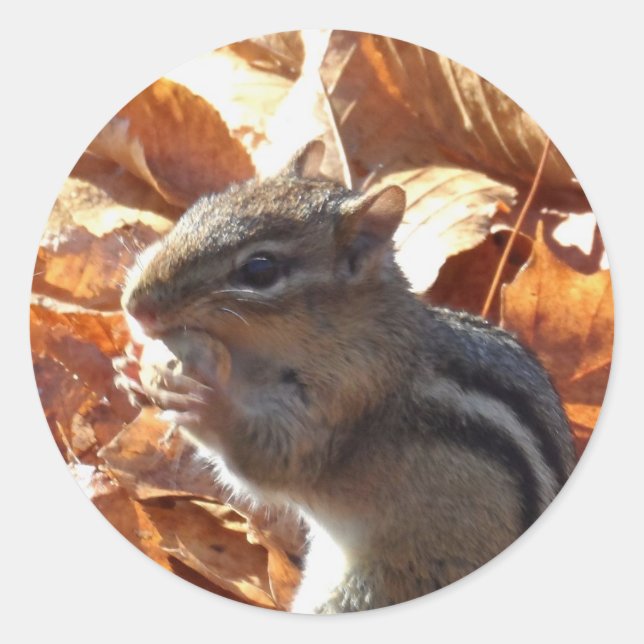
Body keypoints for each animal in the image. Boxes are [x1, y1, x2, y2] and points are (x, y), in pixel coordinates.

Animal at [116, 141, 576, 614]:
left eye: (260, 270)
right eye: (198, 208)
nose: (135, 306)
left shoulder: (347, 403)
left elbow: (268, 463)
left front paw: (210, 401)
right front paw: (135, 364)